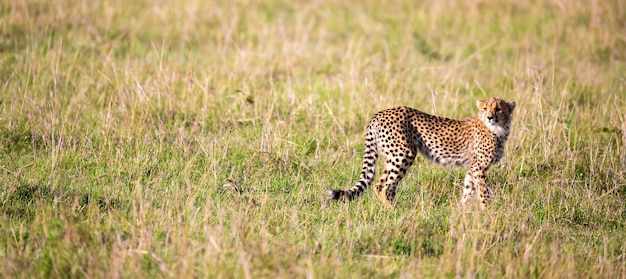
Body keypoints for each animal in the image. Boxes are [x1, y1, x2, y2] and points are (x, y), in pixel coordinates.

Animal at [324, 97, 516, 209]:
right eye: (485, 109)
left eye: (498, 109)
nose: (490, 117)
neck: (498, 129)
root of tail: (380, 113)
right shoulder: (479, 167)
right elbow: (483, 191)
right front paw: (487, 212)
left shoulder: (472, 167)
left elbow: (469, 189)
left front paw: (460, 210)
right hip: (404, 153)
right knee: (384, 186)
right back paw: (393, 210)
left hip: (392, 156)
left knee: (383, 183)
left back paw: (393, 207)